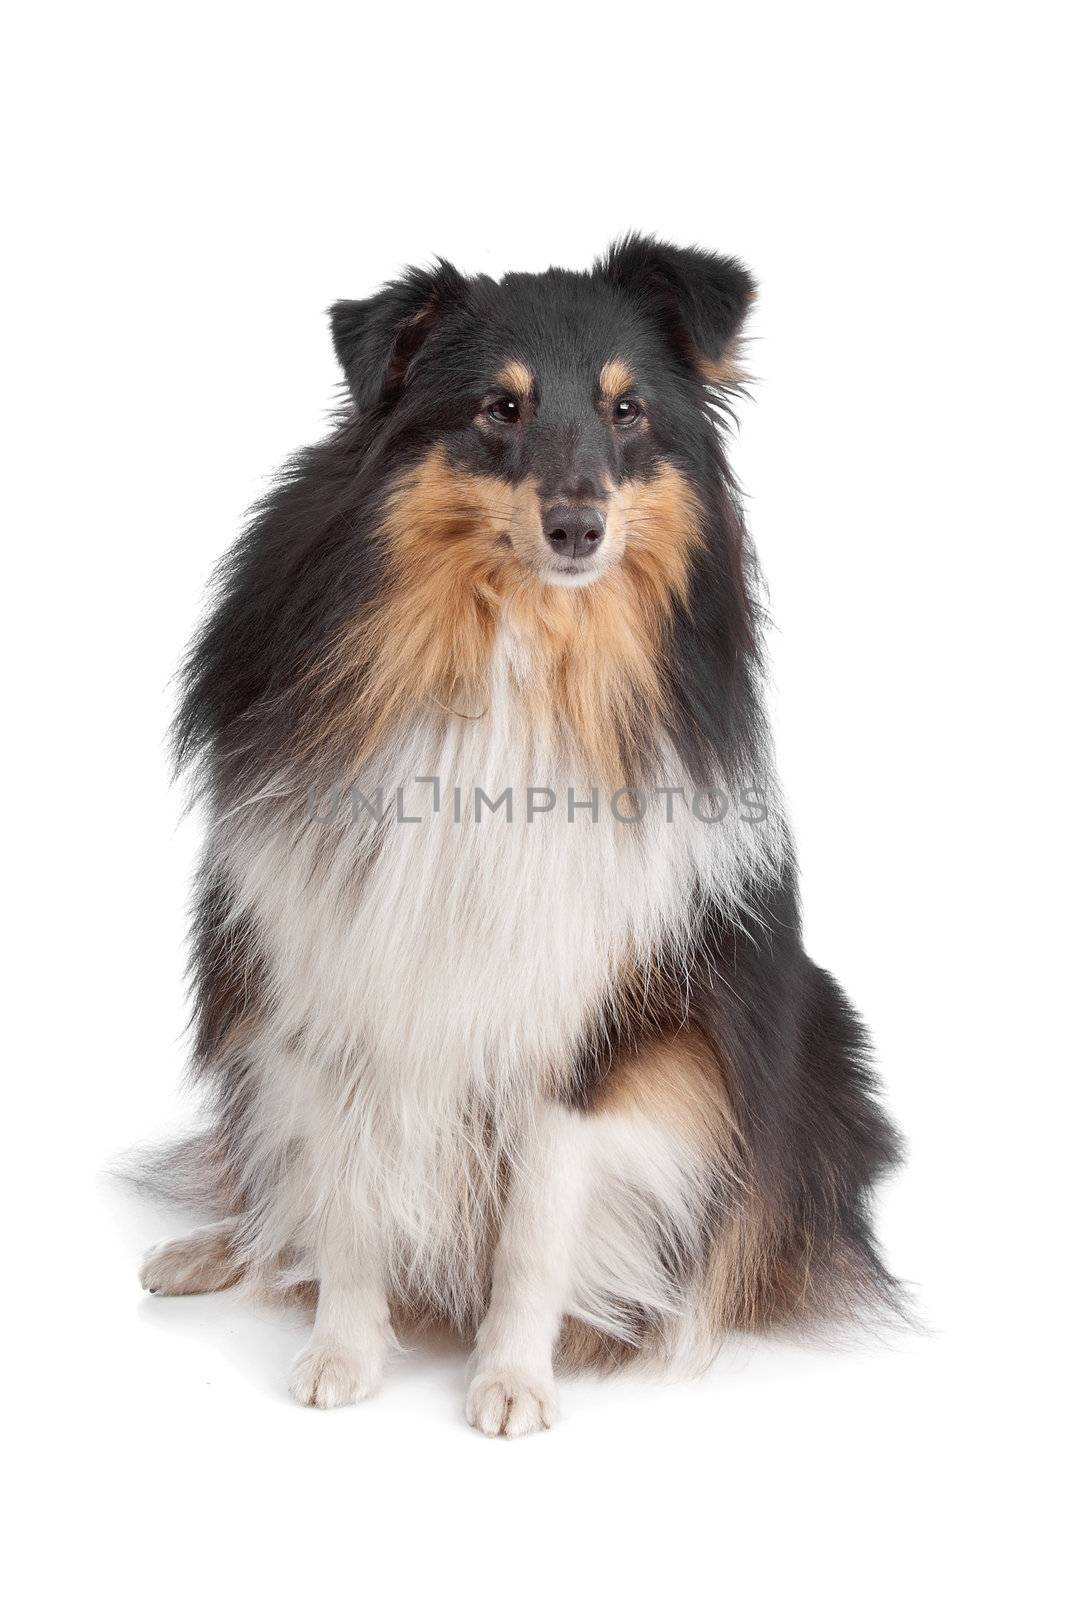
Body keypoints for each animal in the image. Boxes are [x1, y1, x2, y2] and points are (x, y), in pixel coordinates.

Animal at [139, 232, 902, 1433]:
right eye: (500, 408)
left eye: (628, 411)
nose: (578, 529)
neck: (520, 640)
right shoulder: (338, 971)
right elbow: (347, 1199)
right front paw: (340, 1355)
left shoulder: (586, 1022)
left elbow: (538, 1226)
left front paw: (509, 1379)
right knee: (266, 1177)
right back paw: (215, 1251)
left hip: (815, 1044)